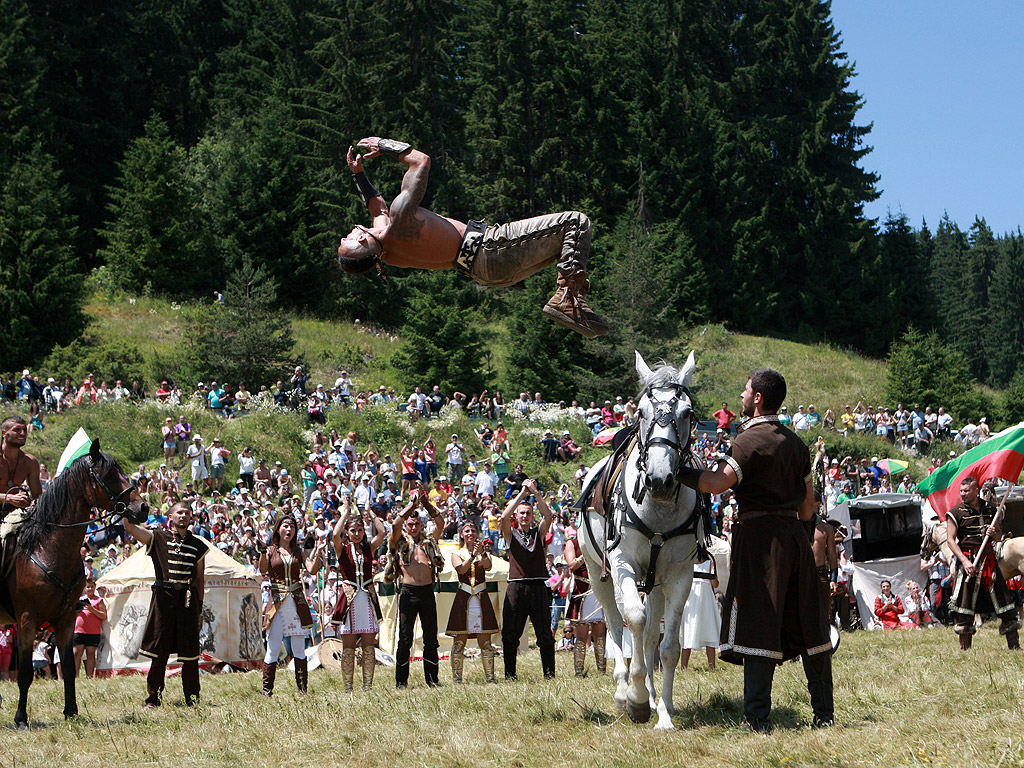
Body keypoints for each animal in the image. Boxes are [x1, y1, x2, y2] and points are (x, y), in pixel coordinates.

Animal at [0, 442, 148, 729]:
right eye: (110, 475)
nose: (143, 507)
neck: (47, 549)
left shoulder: (66, 619)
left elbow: (69, 667)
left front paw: (71, 711)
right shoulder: (27, 620)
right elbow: (24, 673)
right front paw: (21, 718)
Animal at [581, 352, 708, 729]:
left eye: (687, 413)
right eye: (641, 412)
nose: (659, 479)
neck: (659, 509)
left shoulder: (678, 575)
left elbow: (667, 645)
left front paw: (663, 711)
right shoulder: (621, 564)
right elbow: (633, 620)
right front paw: (635, 698)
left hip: (656, 584)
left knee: (650, 635)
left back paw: (652, 698)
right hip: (598, 574)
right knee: (615, 624)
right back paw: (625, 690)